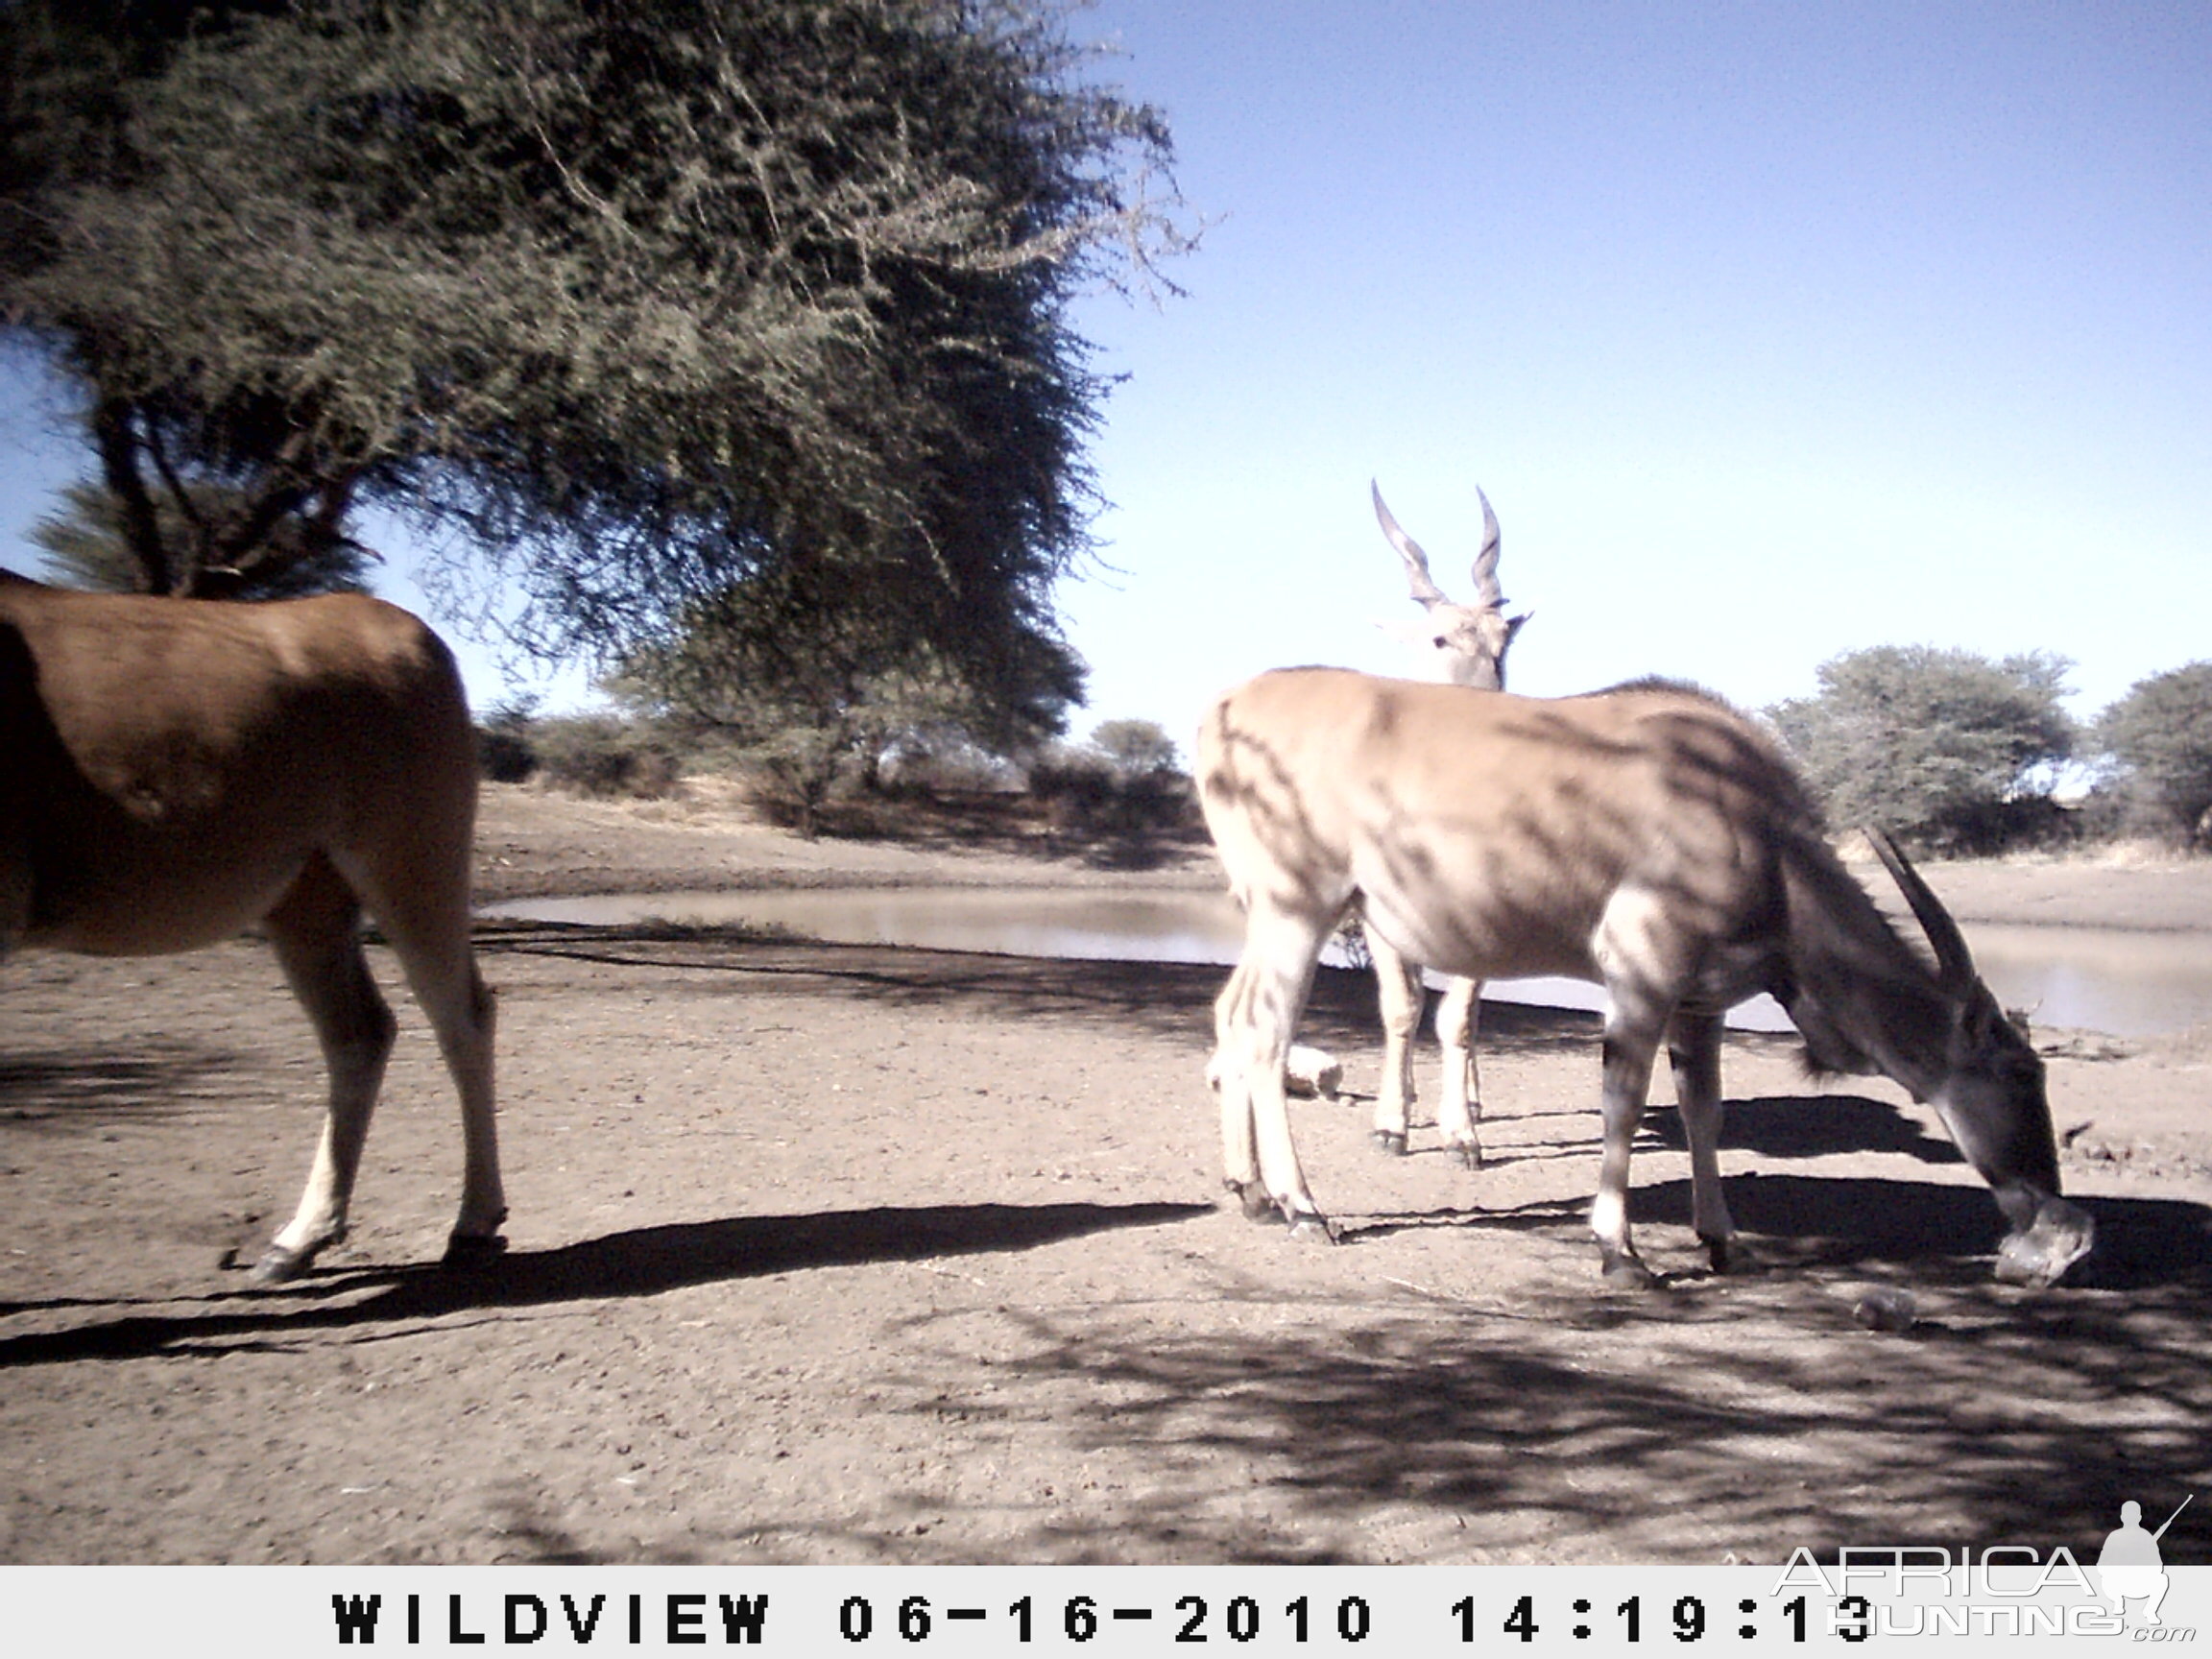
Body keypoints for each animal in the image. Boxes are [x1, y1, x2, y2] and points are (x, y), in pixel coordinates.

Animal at [0, 579, 506, 1291]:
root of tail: (418, 641)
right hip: (306, 901)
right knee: (361, 1032)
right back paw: (300, 1239)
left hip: (408, 863)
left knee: (462, 1017)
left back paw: (471, 1224)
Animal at [1203, 667, 2097, 1291]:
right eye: (2022, 1074)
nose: (2055, 1208)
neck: (1757, 833)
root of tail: (1226, 713)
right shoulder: (1641, 977)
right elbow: (1626, 1106)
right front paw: (1620, 1250)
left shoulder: (1699, 1004)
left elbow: (1704, 1108)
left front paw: (1721, 1239)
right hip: (1298, 909)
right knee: (1267, 1034)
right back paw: (1304, 1207)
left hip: (1266, 917)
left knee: (1233, 1018)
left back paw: (1249, 1192)